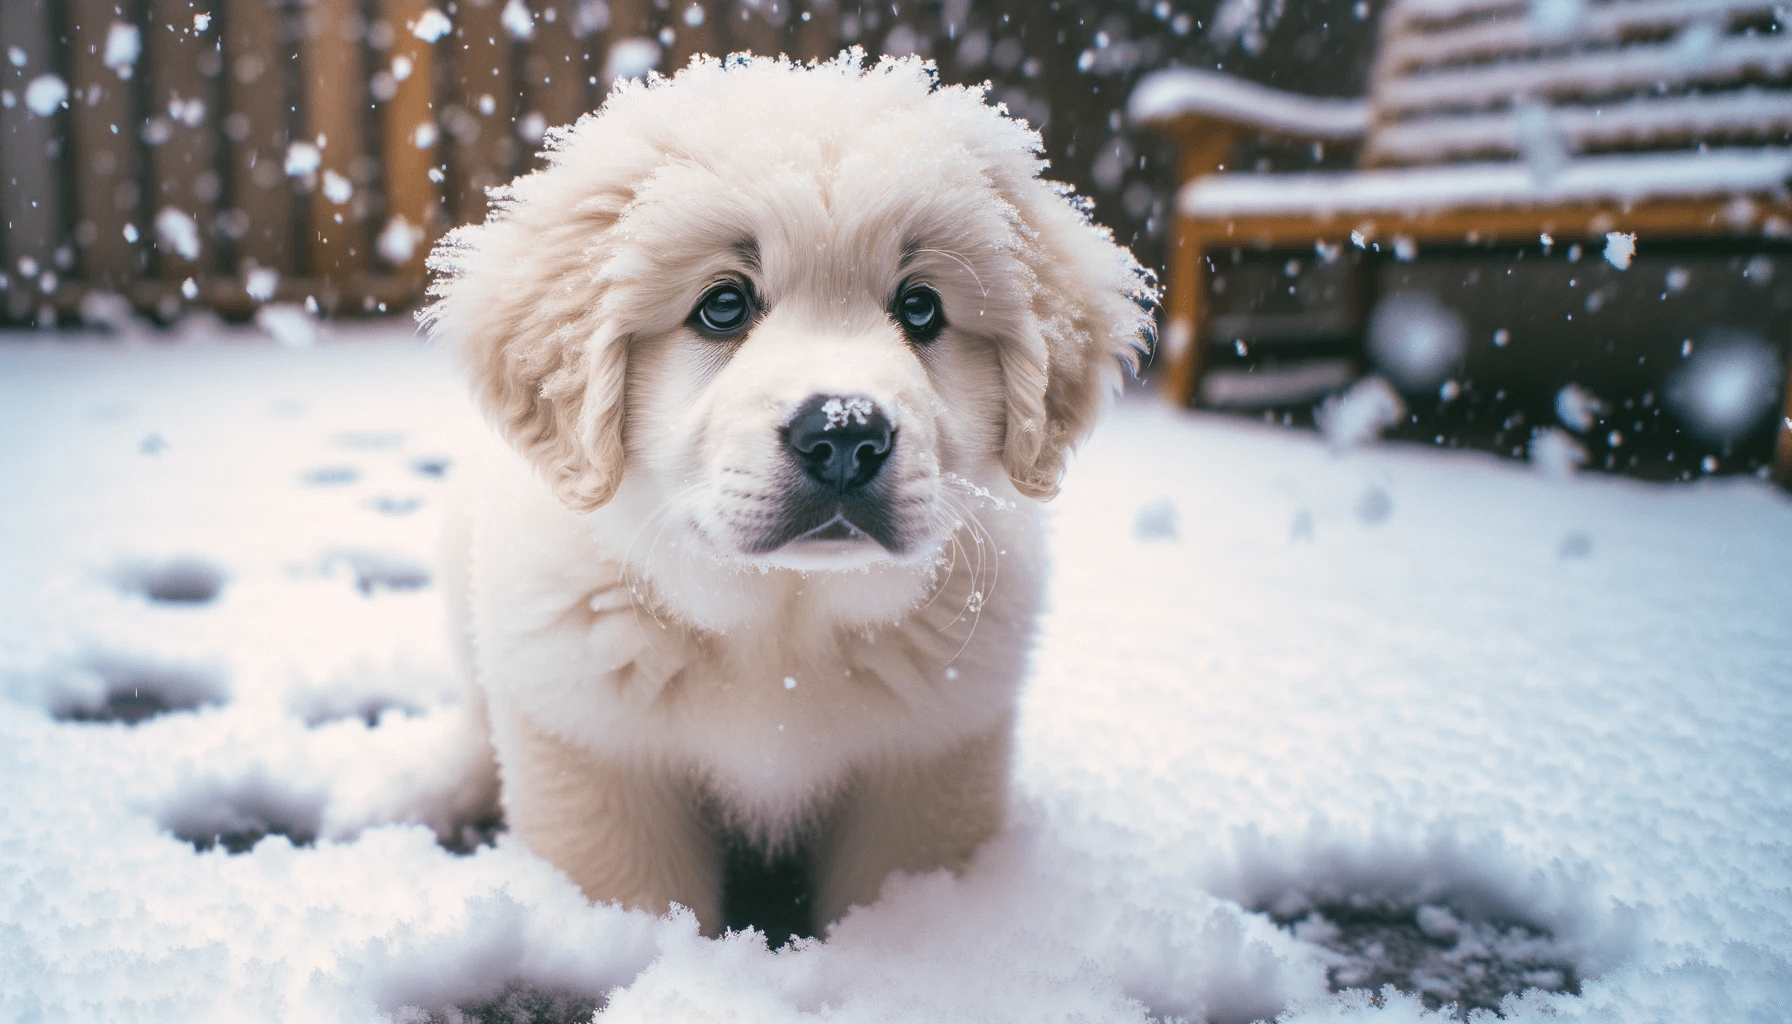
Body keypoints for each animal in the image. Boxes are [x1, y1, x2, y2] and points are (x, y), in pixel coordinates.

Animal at [422, 52, 1146, 939]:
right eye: (723, 305)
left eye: (921, 307)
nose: (844, 434)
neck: (781, 625)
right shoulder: (597, 755)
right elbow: (632, 895)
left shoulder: (931, 760)